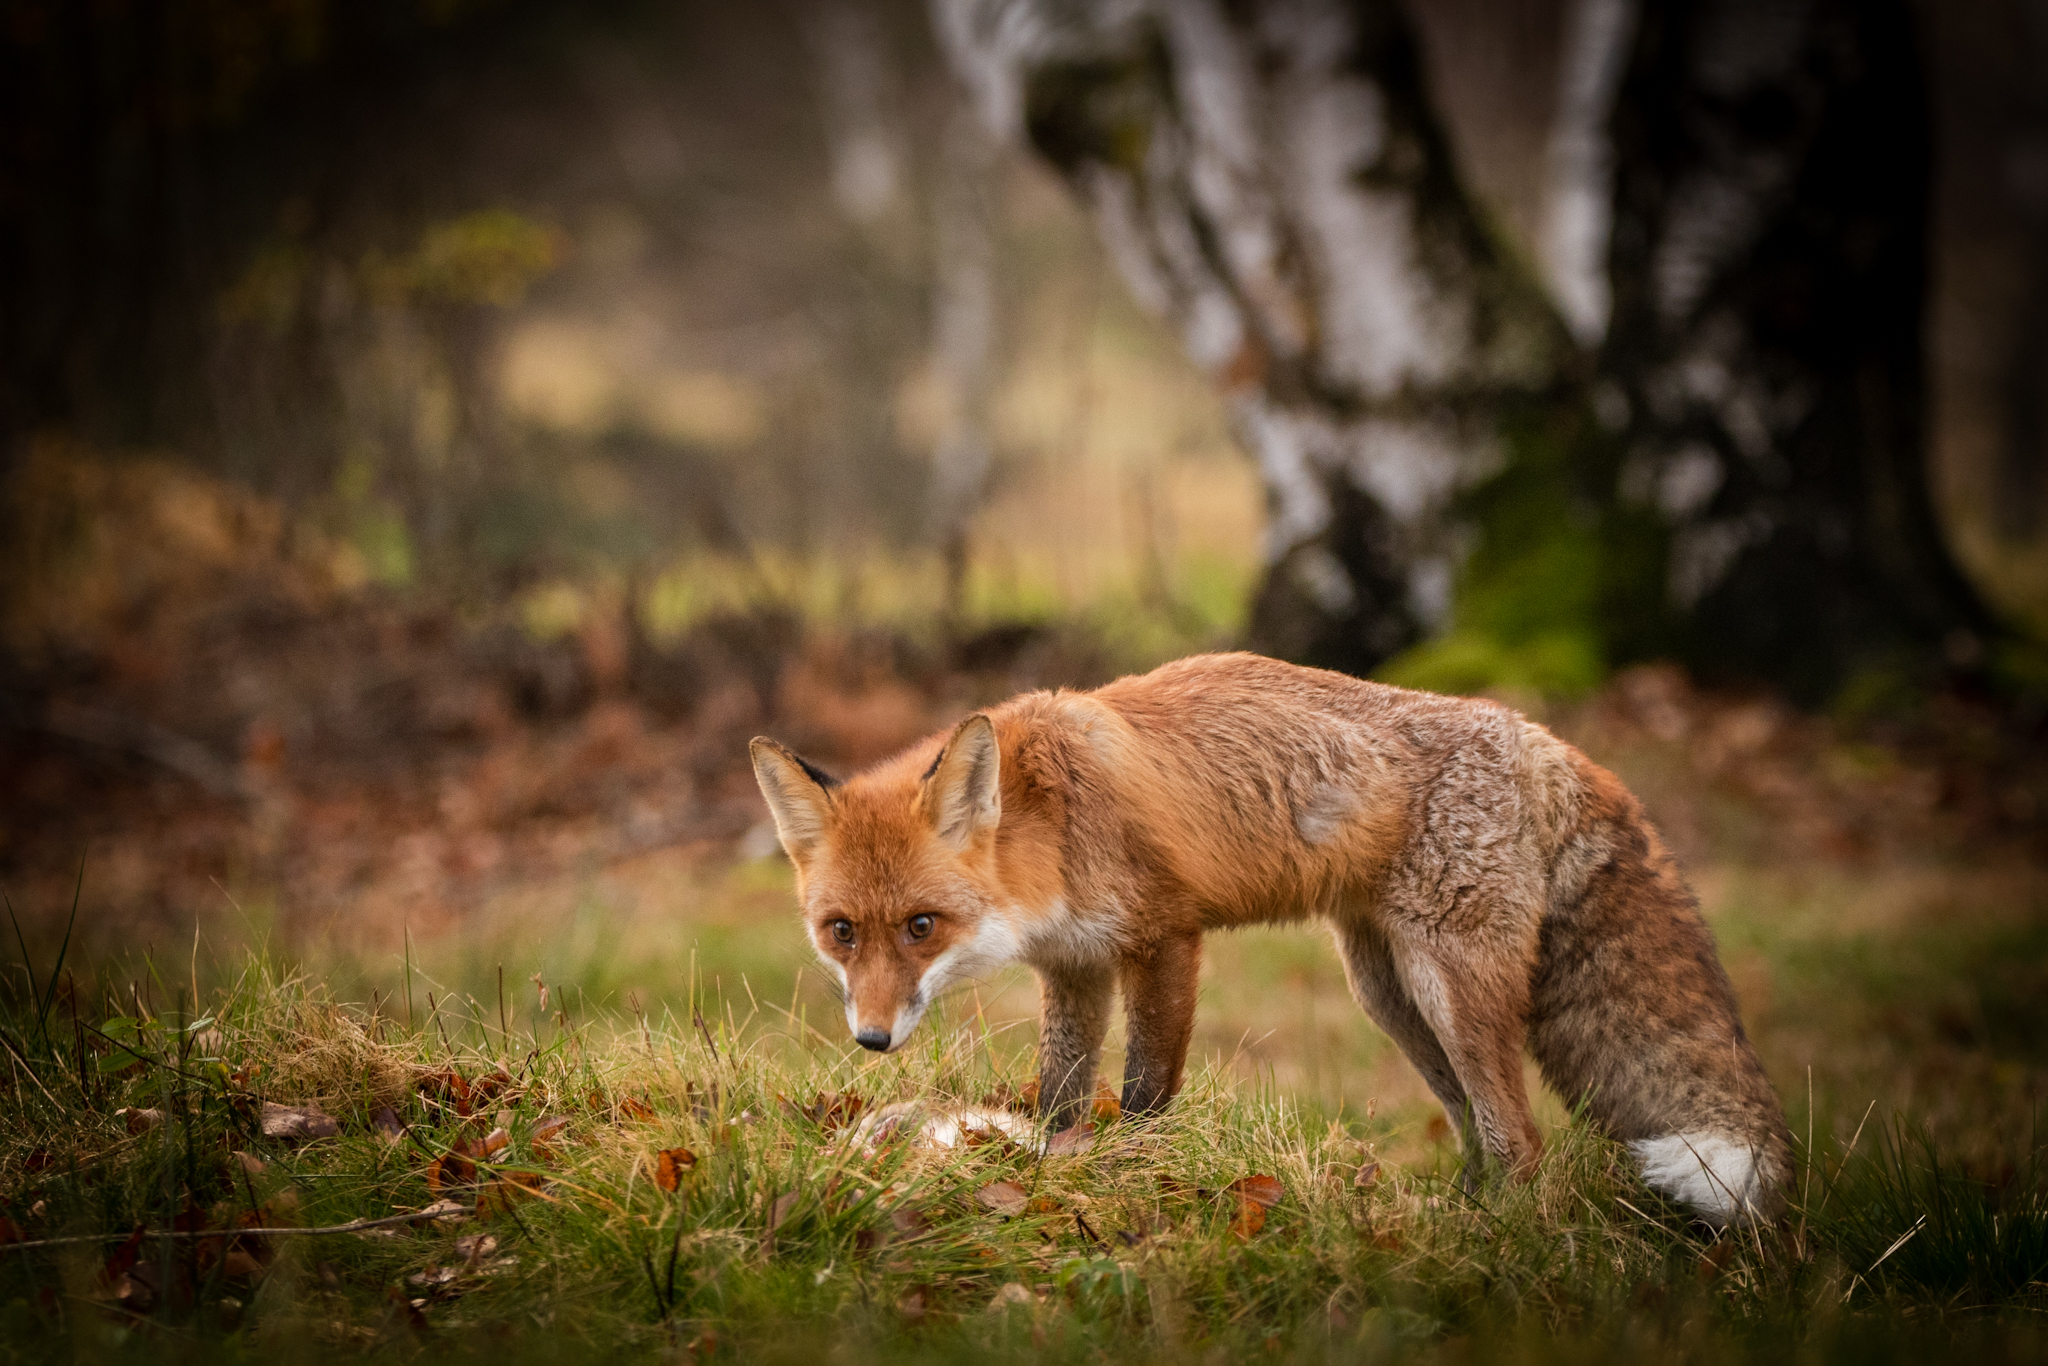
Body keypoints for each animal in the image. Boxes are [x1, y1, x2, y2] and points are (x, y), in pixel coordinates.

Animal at [753, 655, 1794, 1228]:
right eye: (841, 932)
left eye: (921, 927)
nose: (872, 1040)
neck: (1053, 822)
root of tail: (1550, 743)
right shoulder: (1076, 969)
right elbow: (1059, 1098)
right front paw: (1043, 1168)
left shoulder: (1166, 936)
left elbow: (1145, 1094)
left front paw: (1129, 1177)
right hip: (1391, 996)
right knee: (1479, 1130)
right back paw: (1446, 1216)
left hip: (1448, 989)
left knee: (1524, 1141)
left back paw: (1491, 1233)